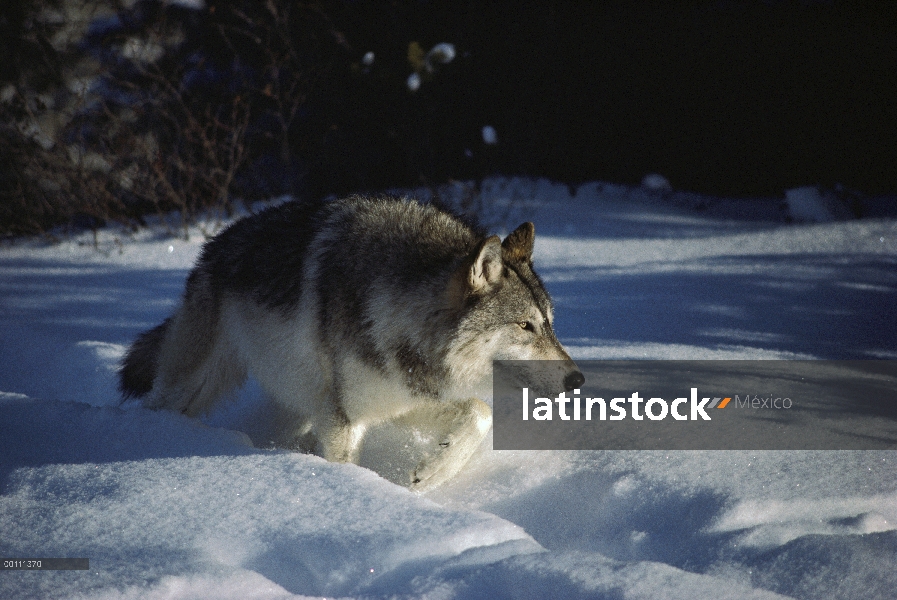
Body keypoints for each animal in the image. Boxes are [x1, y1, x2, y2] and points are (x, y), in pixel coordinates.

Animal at [119, 195, 584, 490]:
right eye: (525, 326)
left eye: (550, 324)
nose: (577, 380)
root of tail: (212, 246)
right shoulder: (345, 417)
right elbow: (347, 468)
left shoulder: (402, 397)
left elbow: (480, 411)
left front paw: (433, 473)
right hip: (194, 385)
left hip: (297, 405)